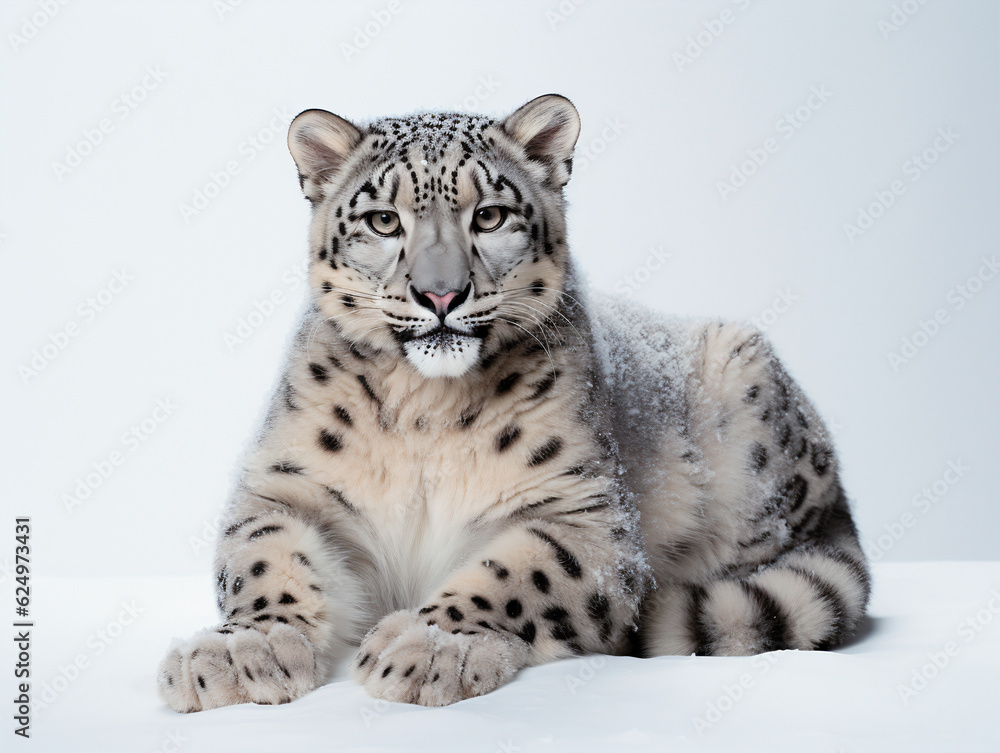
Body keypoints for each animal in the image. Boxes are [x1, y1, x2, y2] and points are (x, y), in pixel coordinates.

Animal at [157, 94, 870, 711]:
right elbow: (262, 557)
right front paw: (242, 651)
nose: (440, 295)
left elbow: (520, 575)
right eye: (383, 220)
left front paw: (428, 646)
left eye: (490, 215)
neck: (424, 409)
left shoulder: (587, 513)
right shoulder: (287, 486)